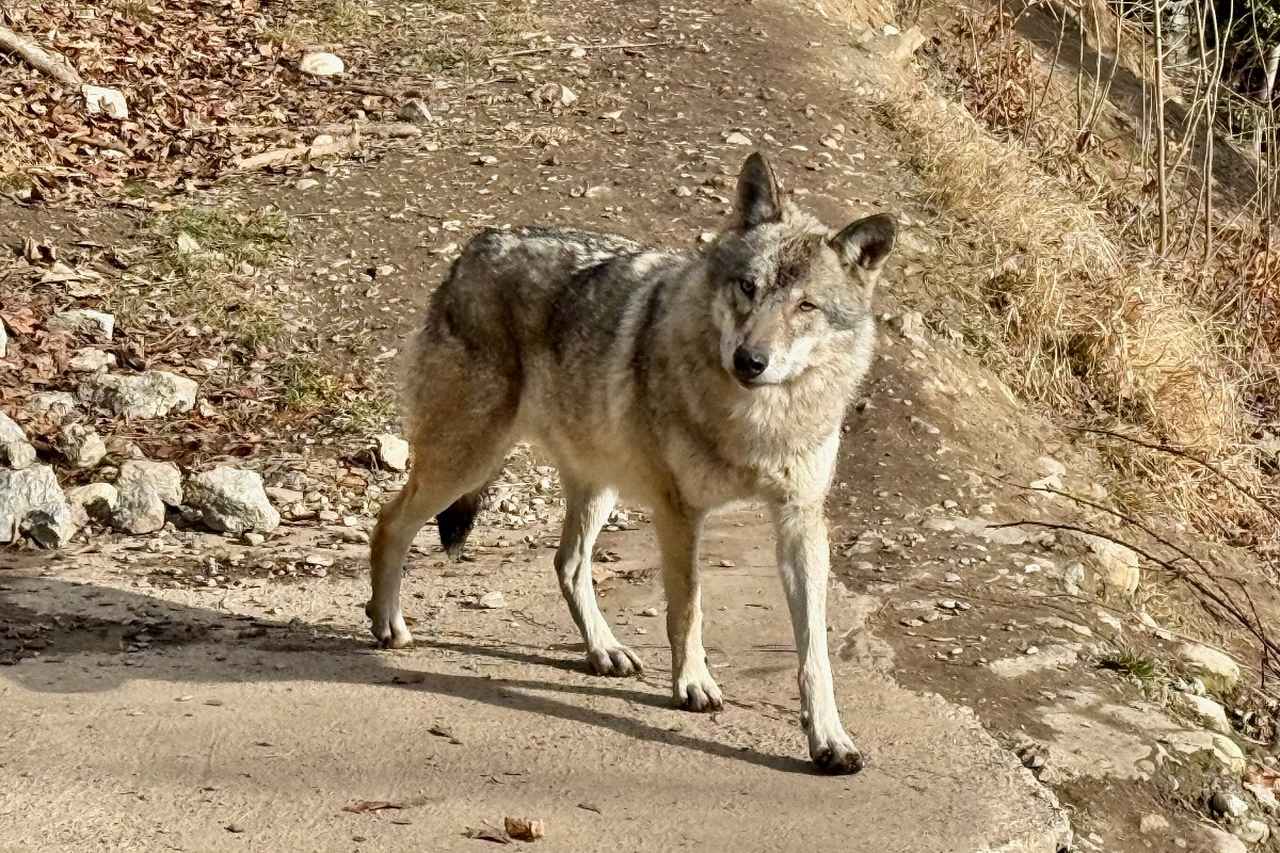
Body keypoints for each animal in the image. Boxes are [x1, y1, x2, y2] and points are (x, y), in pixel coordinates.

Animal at [367, 152, 896, 774]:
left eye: (805, 306)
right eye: (748, 287)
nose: (750, 360)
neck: (757, 421)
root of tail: (477, 244)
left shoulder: (800, 520)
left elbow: (815, 650)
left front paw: (830, 739)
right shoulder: (680, 511)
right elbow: (687, 609)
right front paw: (693, 685)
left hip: (595, 482)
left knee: (568, 562)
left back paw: (605, 650)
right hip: (468, 462)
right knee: (389, 522)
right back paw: (387, 623)